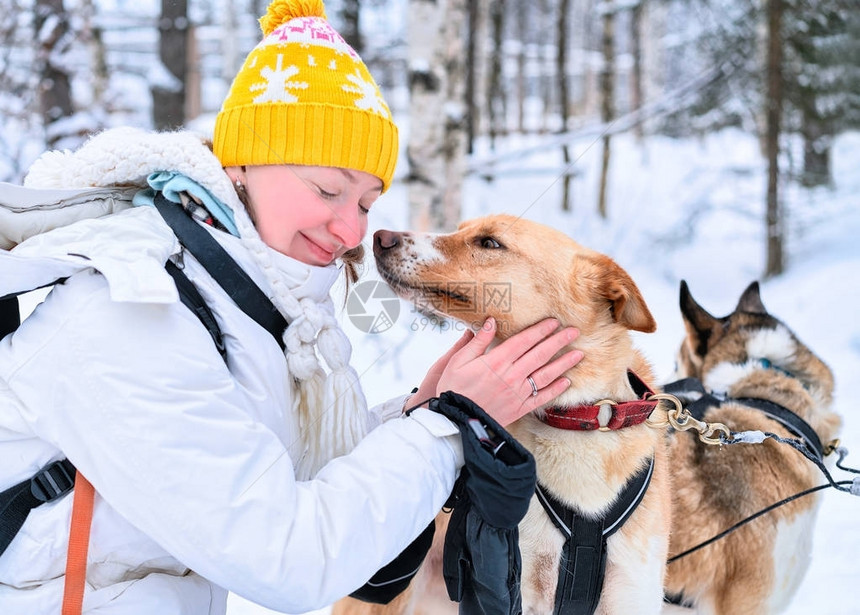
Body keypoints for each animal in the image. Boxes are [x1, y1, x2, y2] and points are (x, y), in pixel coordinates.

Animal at [336, 217, 672, 615]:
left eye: (490, 243)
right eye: (461, 229)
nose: (380, 237)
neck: (575, 420)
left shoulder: (630, 595)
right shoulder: (513, 588)